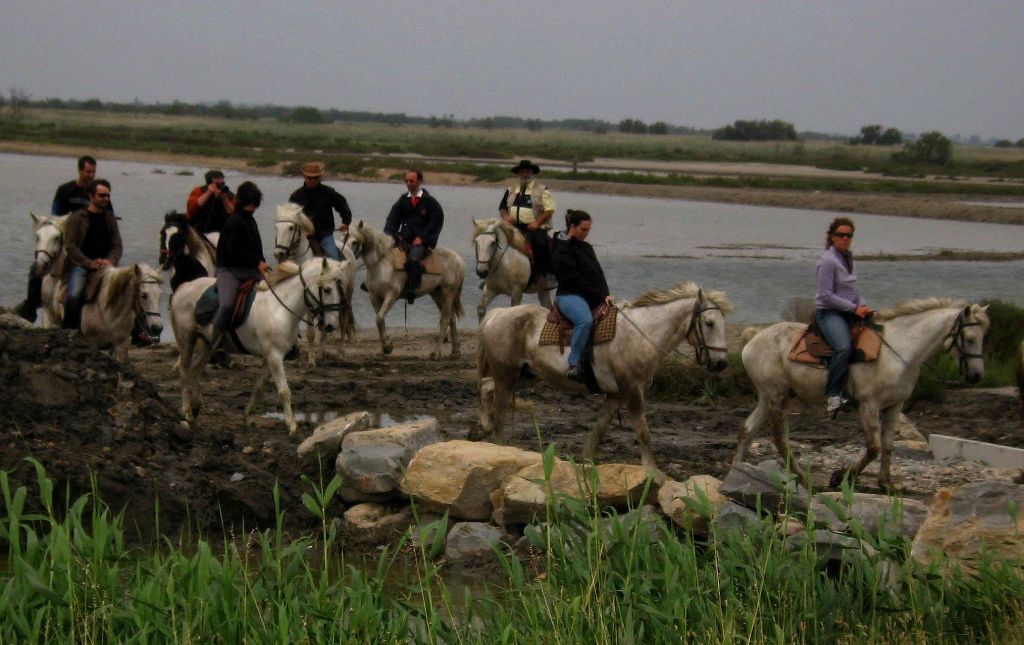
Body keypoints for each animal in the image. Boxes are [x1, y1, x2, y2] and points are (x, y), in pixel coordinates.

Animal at [172, 258, 352, 434]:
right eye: (327, 289)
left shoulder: (269, 358)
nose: (331, 326)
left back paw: (196, 407)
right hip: (187, 340)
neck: (280, 309)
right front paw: (292, 425)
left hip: (206, 345)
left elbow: (259, 388)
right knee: (184, 371)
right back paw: (187, 412)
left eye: (341, 291)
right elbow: (284, 391)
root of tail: (183, 287)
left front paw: (246, 416)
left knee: (195, 370)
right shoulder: (274, 357)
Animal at [272, 202, 356, 366]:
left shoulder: (309, 306)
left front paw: (310, 361)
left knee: (343, 323)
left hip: (346, 297)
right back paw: (322, 353)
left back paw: (340, 353)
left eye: (291, 227)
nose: (279, 253)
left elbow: (310, 333)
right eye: (277, 227)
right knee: (324, 326)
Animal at [348, 222, 468, 362]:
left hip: (448, 293)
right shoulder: (374, 297)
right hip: (437, 295)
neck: (383, 263)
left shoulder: (392, 295)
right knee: (451, 319)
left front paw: (388, 346)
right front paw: (386, 347)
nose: (348, 259)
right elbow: (380, 320)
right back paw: (455, 352)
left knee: (445, 320)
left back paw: (436, 353)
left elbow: (379, 318)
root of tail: (459, 259)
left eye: (355, 242)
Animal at [475, 282, 733, 470]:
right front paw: (653, 472)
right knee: (499, 411)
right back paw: (501, 447)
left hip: (524, 376)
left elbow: (599, 429)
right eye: (709, 323)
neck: (641, 333)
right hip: (507, 376)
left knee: (486, 386)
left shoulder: (616, 395)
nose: (721, 363)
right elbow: (643, 431)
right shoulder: (632, 391)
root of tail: (497, 315)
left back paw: (483, 425)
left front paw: (586, 461)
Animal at [737, 301, 991, 493]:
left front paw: (886, 484)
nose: (977, 376)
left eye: (983, 337)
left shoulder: (895, 405)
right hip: (776, 396)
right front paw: (841, 477)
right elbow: (873, 447)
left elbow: (887, 445)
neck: (898, 351)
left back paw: (735, 471)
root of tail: (754, 338)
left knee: (748, 430)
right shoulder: (869, 405)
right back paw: (805, 480)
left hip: (767, 397)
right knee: (780, 440)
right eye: (969, 338)